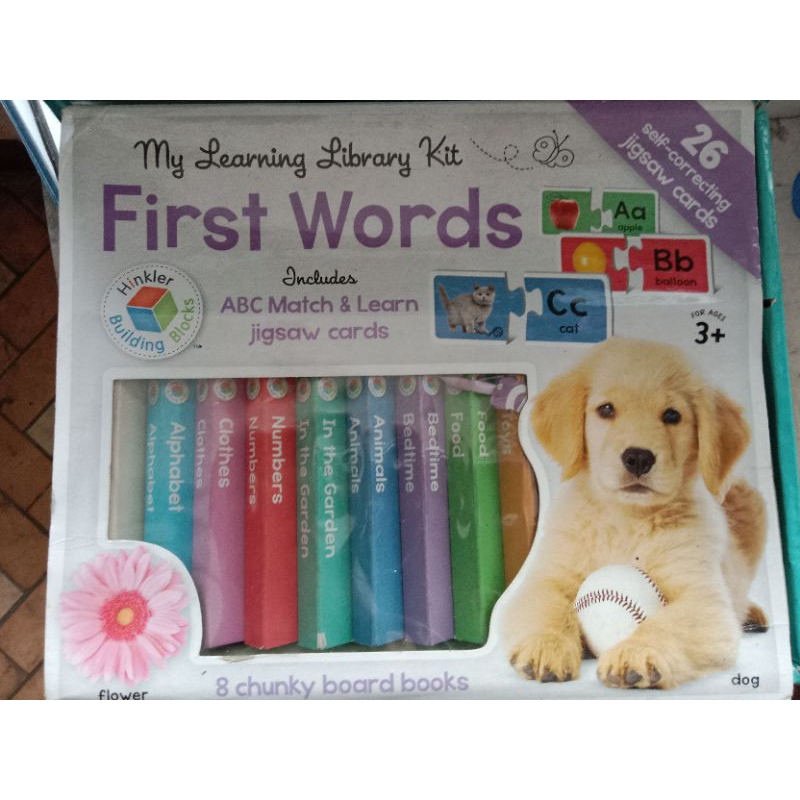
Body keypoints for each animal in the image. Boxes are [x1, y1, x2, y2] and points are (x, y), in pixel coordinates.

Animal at [505, 337, 767, 689]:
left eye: (672, 415)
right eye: (606, 409)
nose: (638, 458)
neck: (625, 519)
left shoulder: (706, 601)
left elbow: (668, 625)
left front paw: (638, 652)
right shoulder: (544, 578)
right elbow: (547, 608)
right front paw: (547, 645)